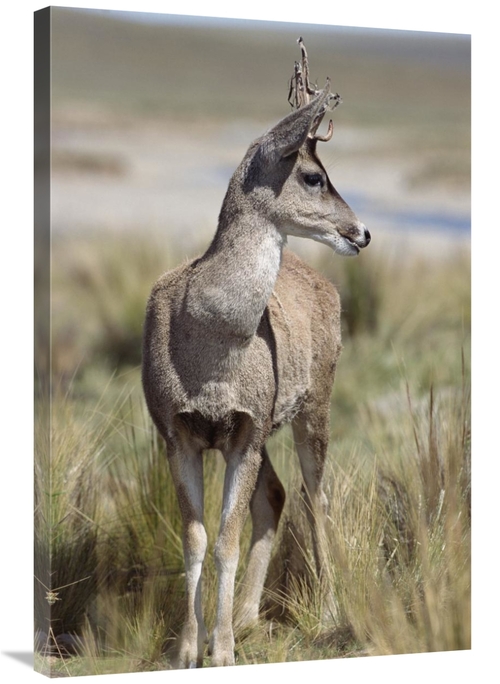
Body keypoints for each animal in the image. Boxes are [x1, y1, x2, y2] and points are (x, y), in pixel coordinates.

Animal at [143, 38, 370, 668]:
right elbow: (195, 539)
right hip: (271, 422)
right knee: (275, 495)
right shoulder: (179, 430)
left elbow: (226, 538)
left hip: (315, 401)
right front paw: (187, 648)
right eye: (314, 177)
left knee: (316, 495)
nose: (363, 232)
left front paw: (219, 652)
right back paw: (246, 617)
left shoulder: (243, 428)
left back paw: (329, 612)